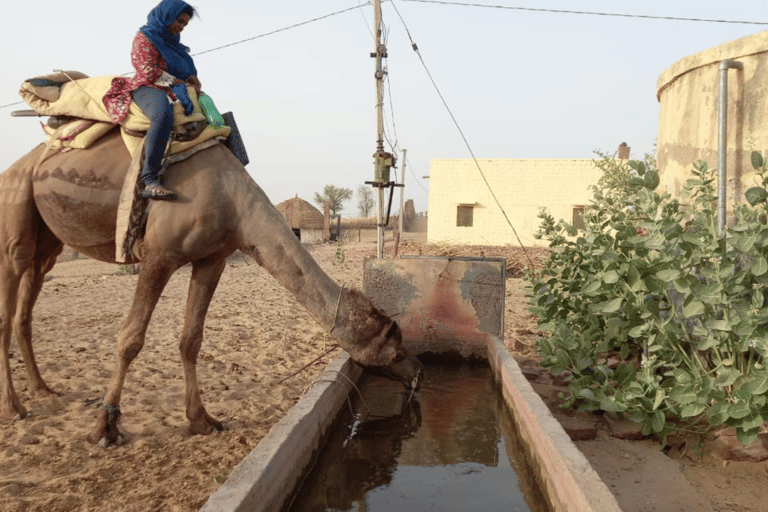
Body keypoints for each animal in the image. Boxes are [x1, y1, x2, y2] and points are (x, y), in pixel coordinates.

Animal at [0, 130, 424, 446]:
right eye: (396, 348)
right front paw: (105, 429)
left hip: (48, 241)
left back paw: (43, 390)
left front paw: (203, 421)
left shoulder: (212, 259)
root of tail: (17, 166)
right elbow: (131, 338)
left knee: (27, 303)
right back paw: (16, 407)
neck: (234, 202)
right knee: (11, 288)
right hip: (16, 211)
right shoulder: (158, 255)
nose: (418, 374)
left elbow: (192, 339)